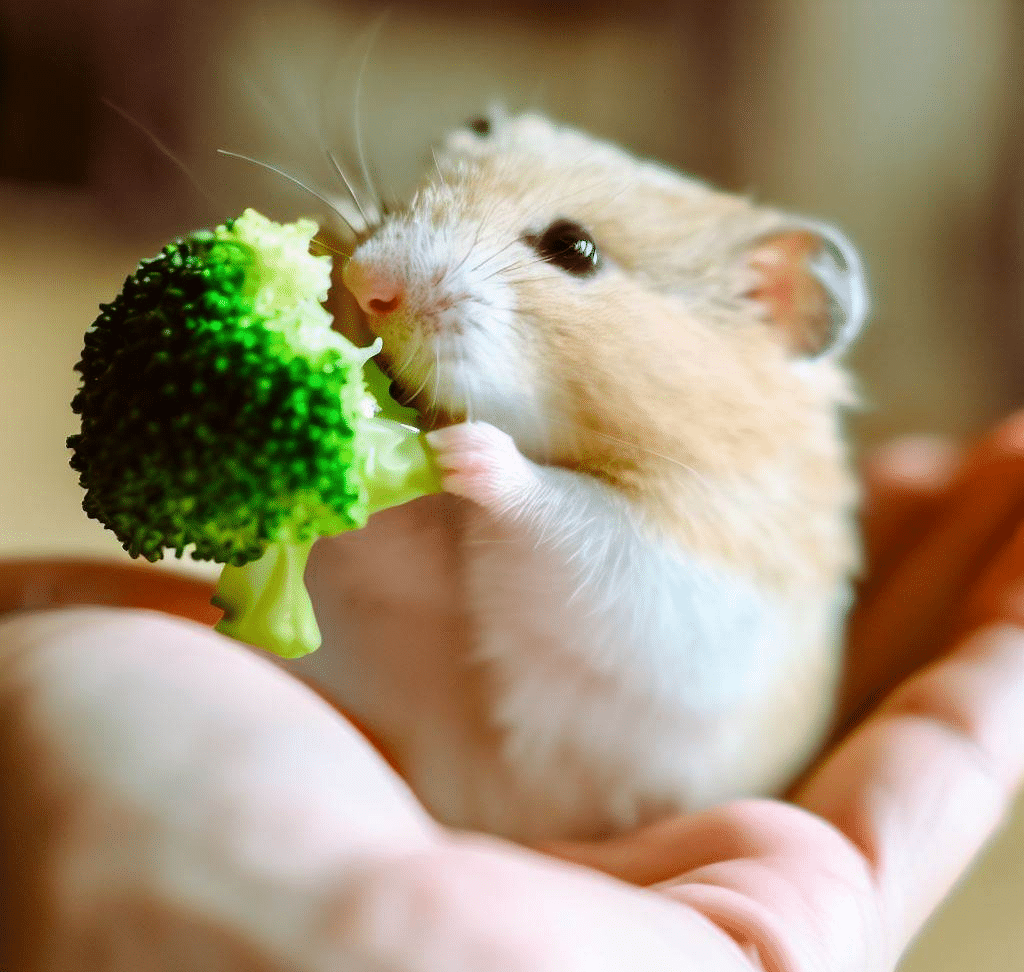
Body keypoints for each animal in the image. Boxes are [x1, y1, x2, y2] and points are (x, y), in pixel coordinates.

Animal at [294, 108, 864, 843]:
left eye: (575, 250)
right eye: (413, 193)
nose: (368, 285)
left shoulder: (669, 567)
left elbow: (565, 517)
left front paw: (464, 449)